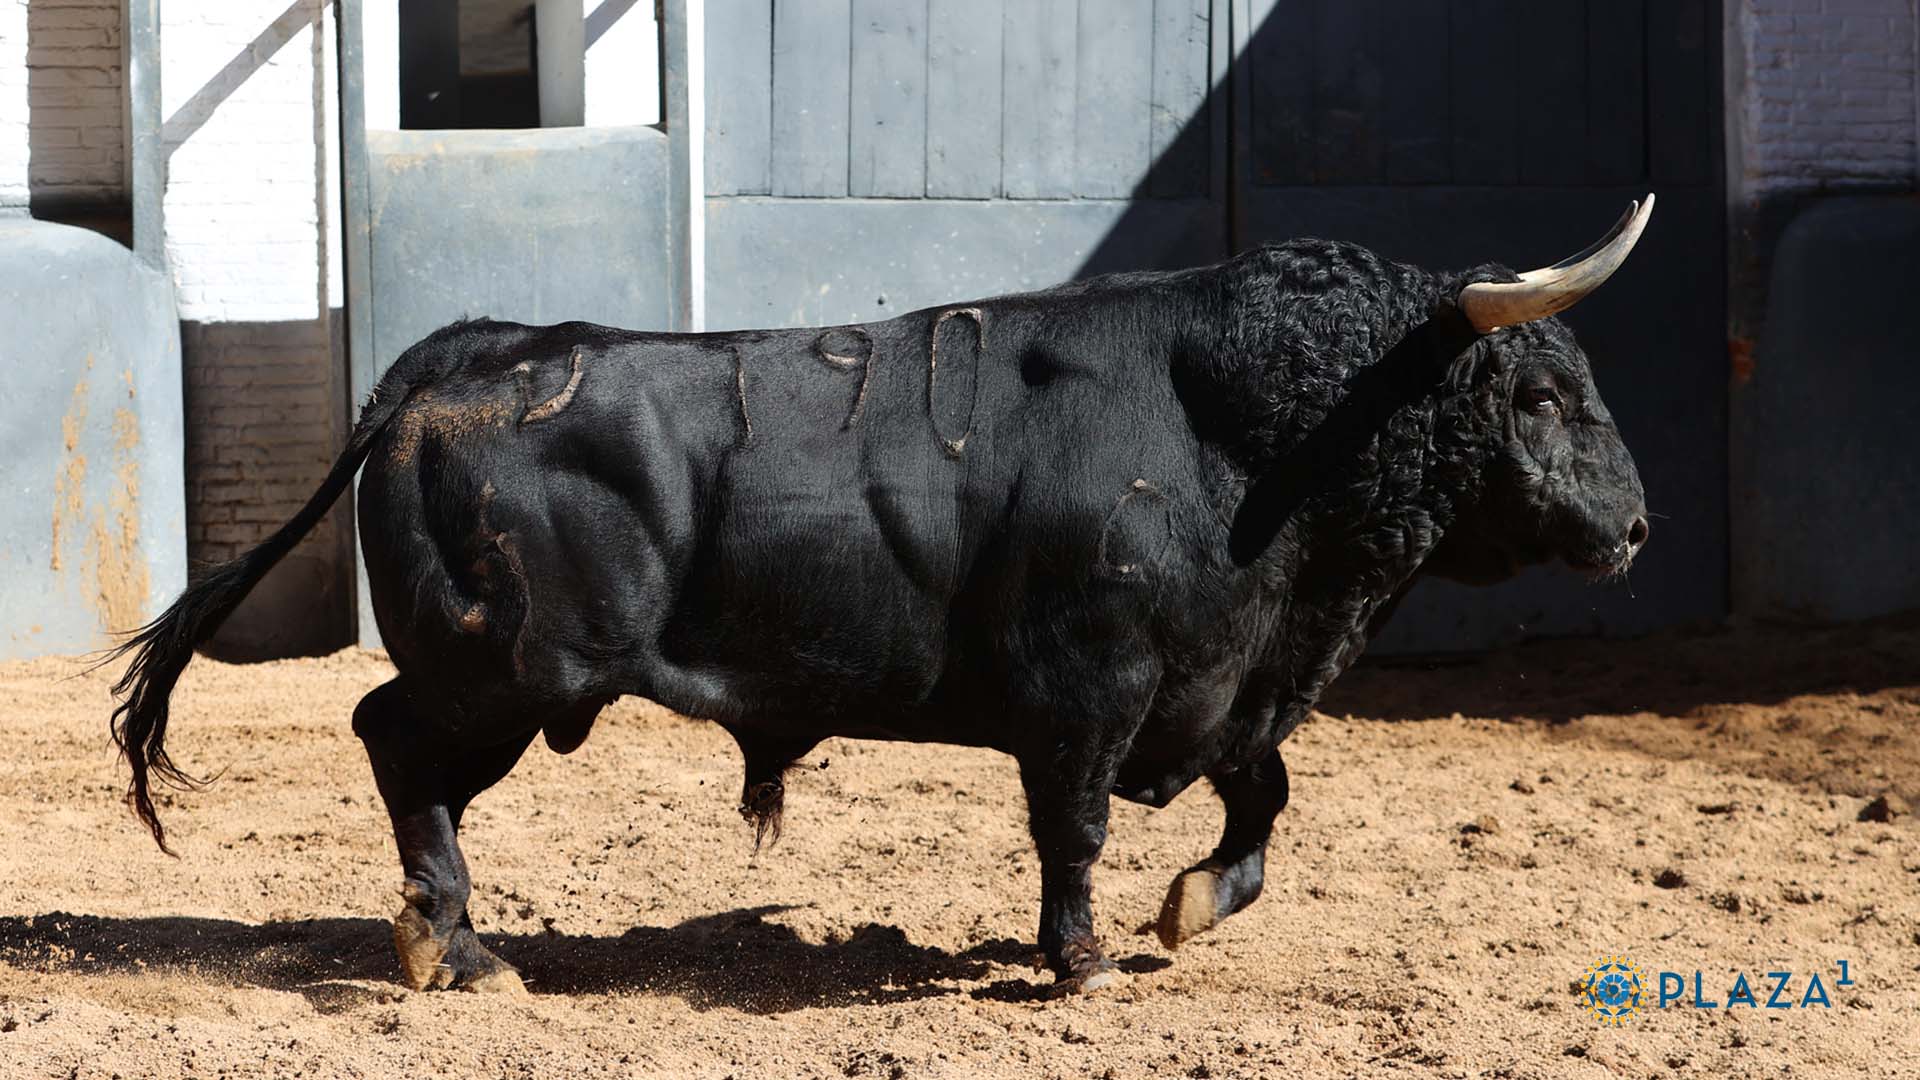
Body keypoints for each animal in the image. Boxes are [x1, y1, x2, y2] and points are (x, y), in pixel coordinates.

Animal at [107, 197, 1655, 995]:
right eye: (1539, 394)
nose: (1636, 527)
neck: (1247, 431)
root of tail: (464, 355)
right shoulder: (1088, 691)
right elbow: (1075, 829)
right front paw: (1084, 959)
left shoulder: (1218, 689)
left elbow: (1262, 798)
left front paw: (1194, 906)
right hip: (513, 673)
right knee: (390, 739)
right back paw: (456, 943)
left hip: (506, 681)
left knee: (401, 750)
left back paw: (455, 940)